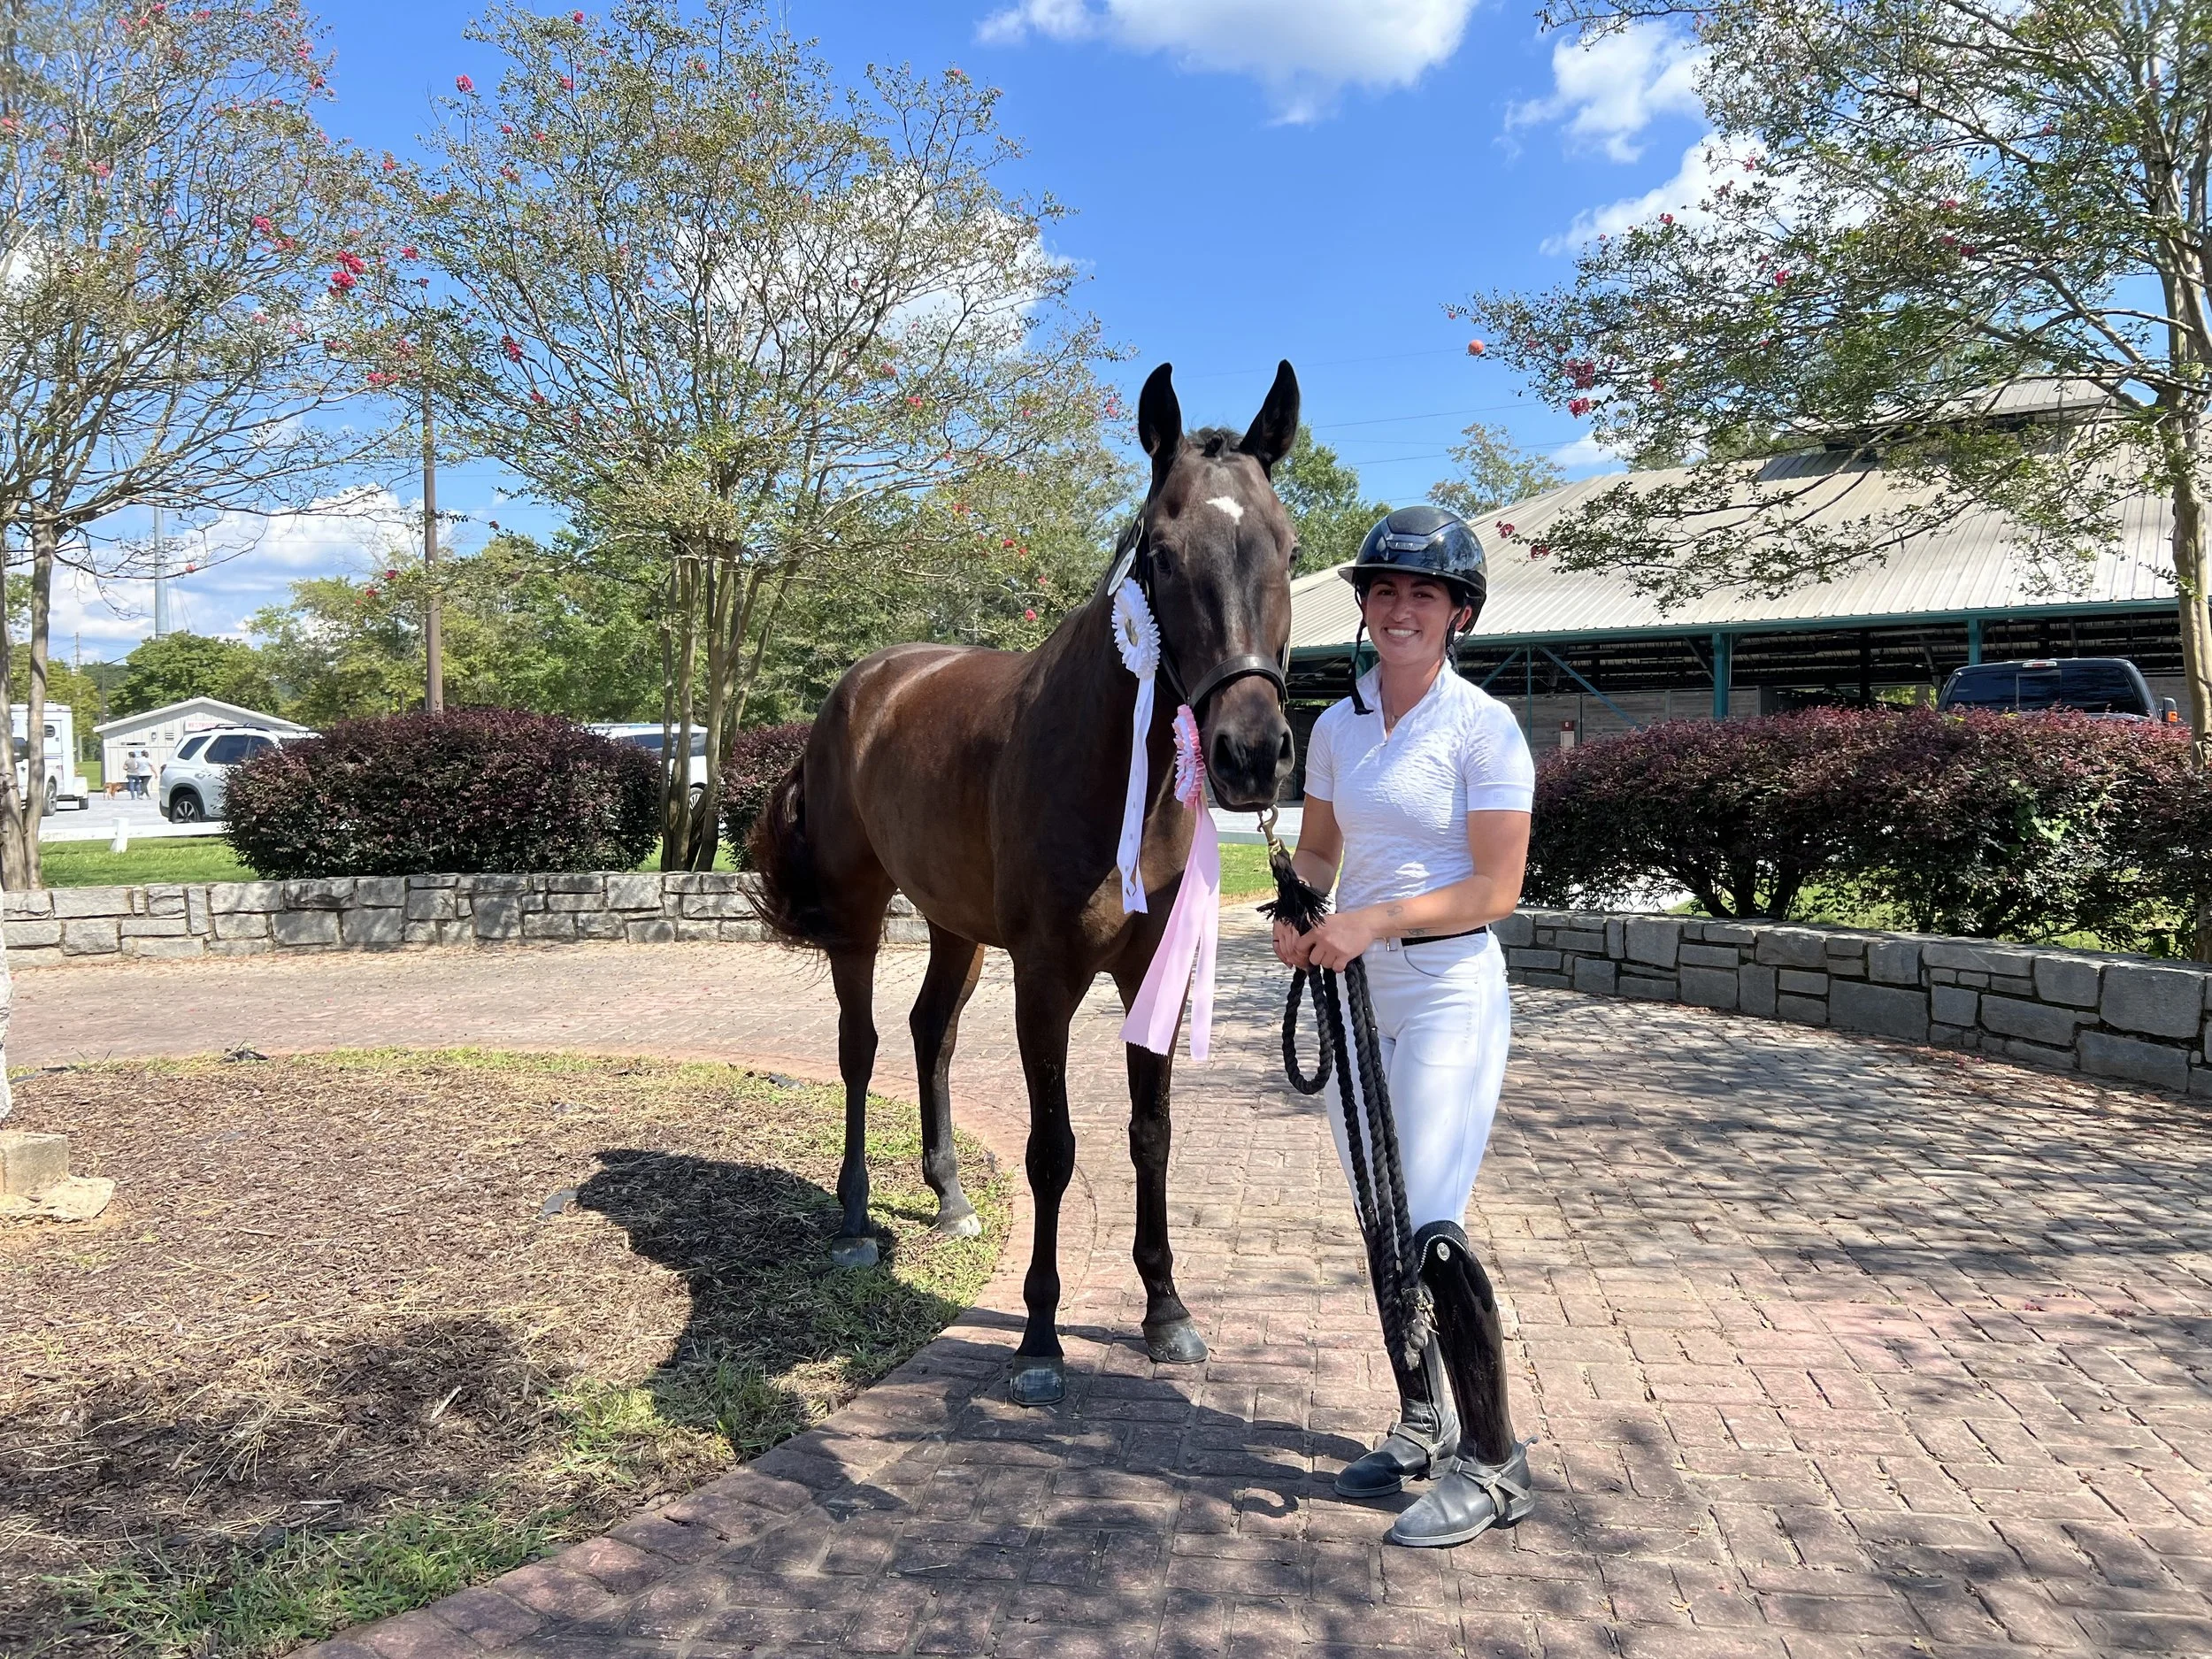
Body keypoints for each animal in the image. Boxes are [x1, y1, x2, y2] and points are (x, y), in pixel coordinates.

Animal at [749, 360, 1301, 1406]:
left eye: (1287, 546)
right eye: (1161, 554)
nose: (1252, 754)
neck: (1112, 772)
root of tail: (863, 685)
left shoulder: (1151, 975)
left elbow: (1150, 1132)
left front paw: (1165, 1310)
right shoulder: (1045, 979)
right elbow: (1055, 1151)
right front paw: (1040, 1336)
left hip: (955, 928)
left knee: (930, 1032)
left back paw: (950, 1195)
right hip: (858, 917)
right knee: (860, 1048)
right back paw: (854, 1221)